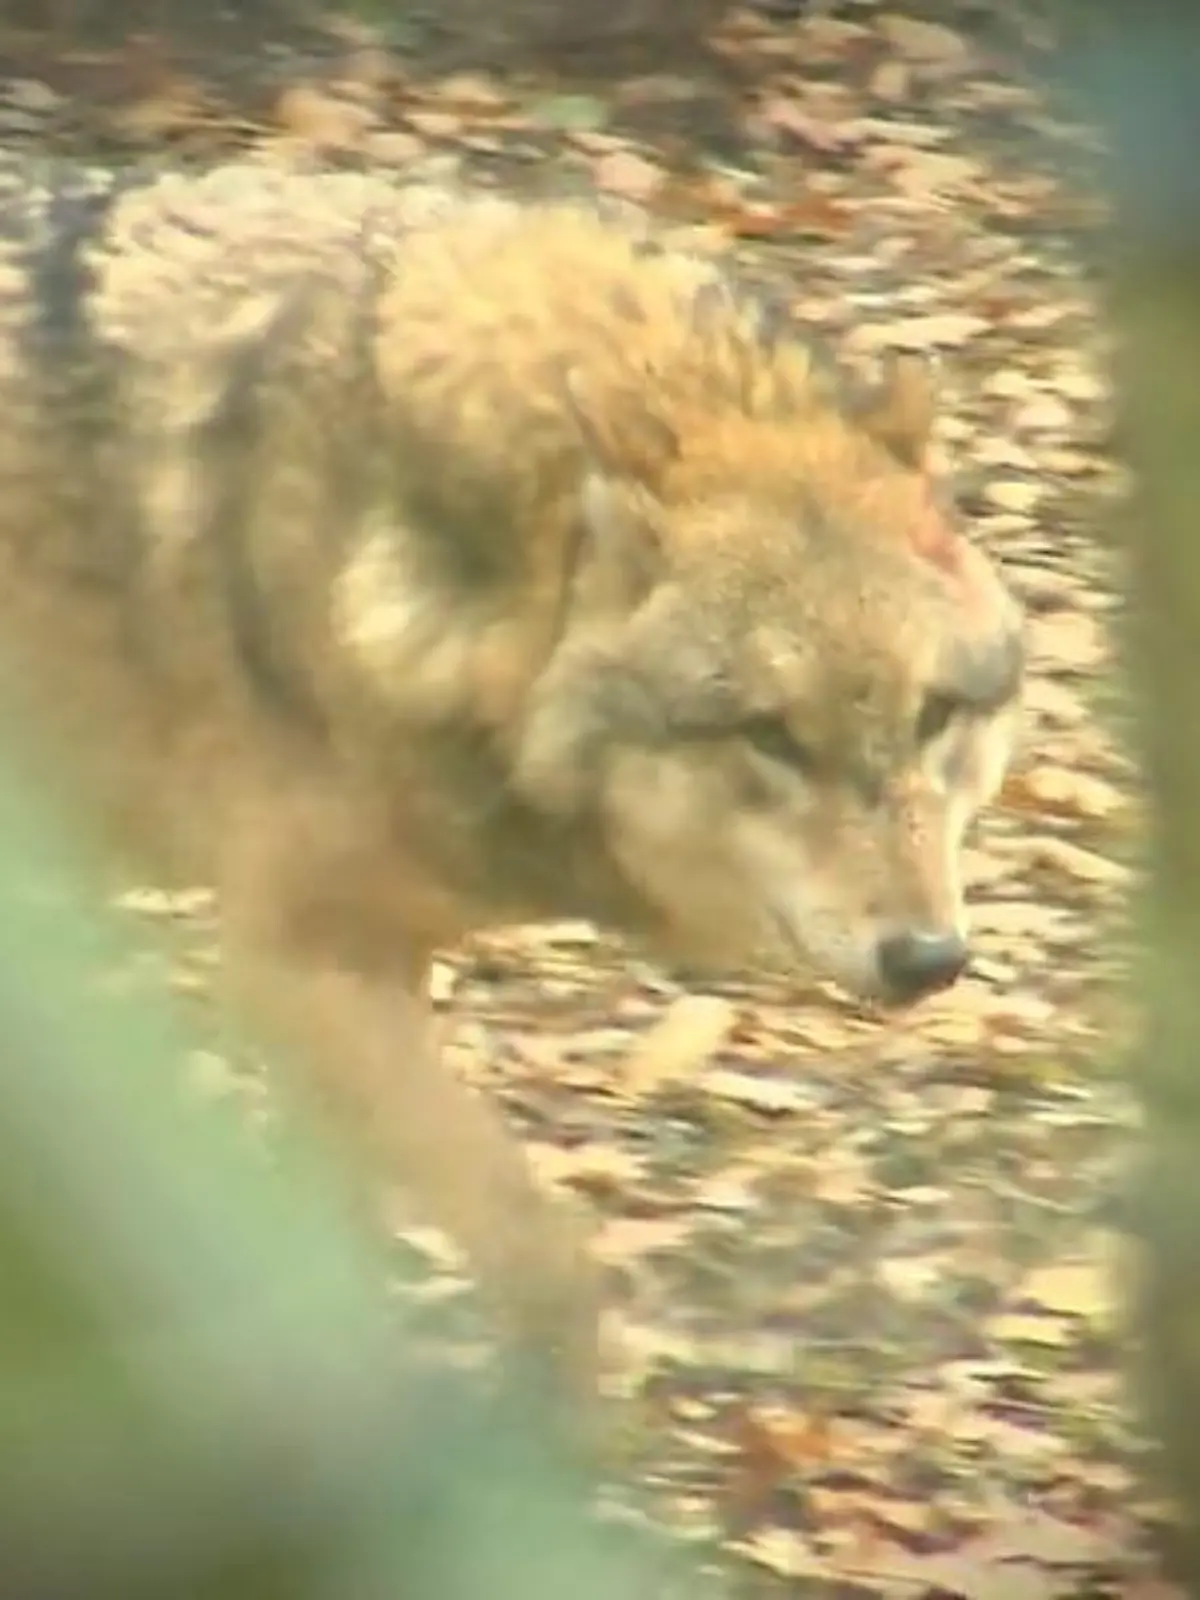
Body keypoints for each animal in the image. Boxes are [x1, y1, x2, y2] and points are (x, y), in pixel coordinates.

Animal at [0, 158, 1023, 1409]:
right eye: (771, 735)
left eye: (933, 715)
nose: (929, 959)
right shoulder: (294, 963)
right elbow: (540, 1249)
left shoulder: (368, 965)